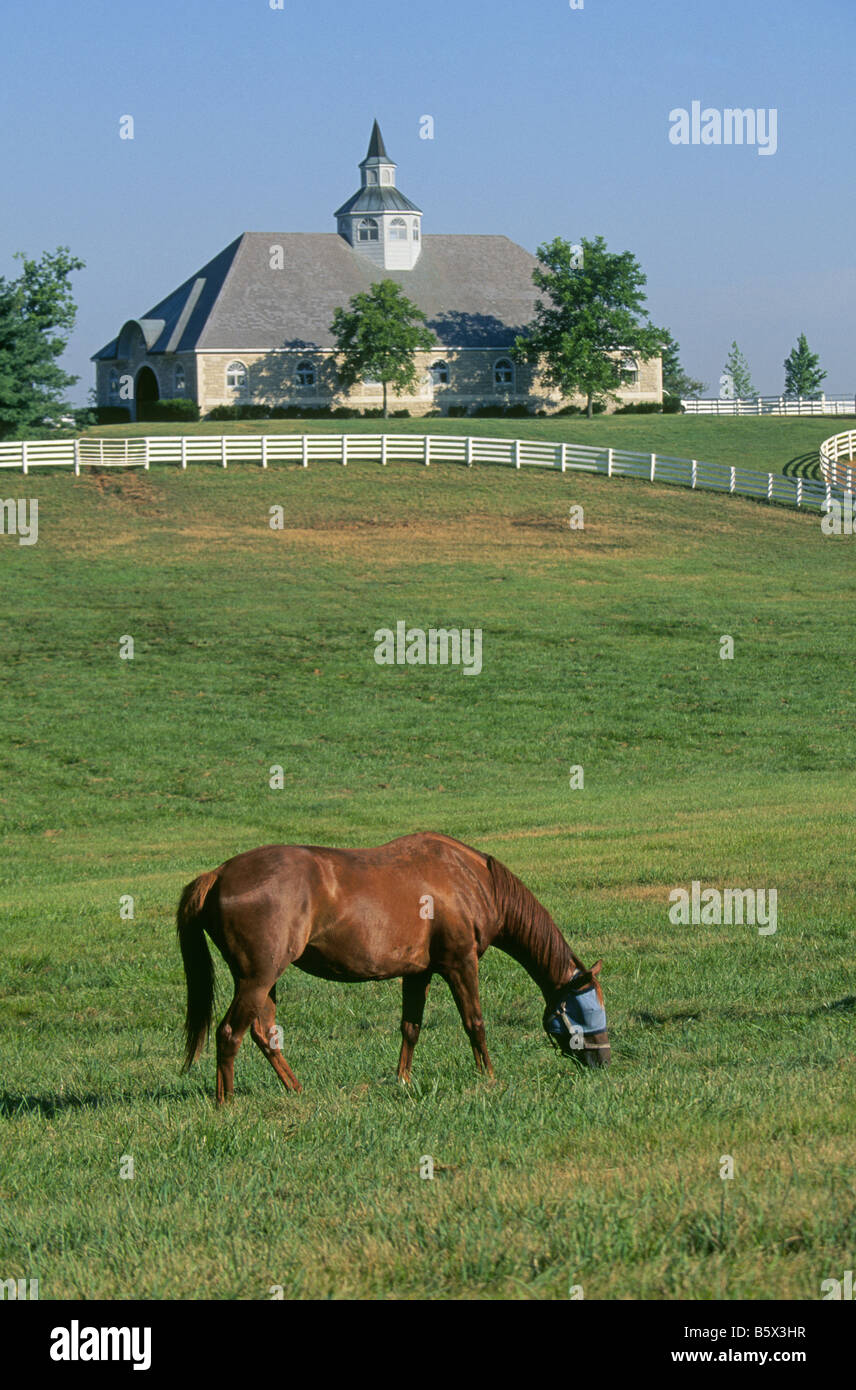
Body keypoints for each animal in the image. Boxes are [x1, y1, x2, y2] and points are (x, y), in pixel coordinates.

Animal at [177, 828, 611, 1100]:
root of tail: (217, 874)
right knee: (229, 1033)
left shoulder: (418, 974)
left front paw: (403, 1080)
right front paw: (488, 1076)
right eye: (584, 1007)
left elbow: (410, 1028)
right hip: (257, 978)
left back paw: (296, 1091)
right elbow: (475, 1022)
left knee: (264, 1034)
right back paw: (226, 1103)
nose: (604, 1060)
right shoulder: (460, 963)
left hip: (262, 982)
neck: (469, 878)